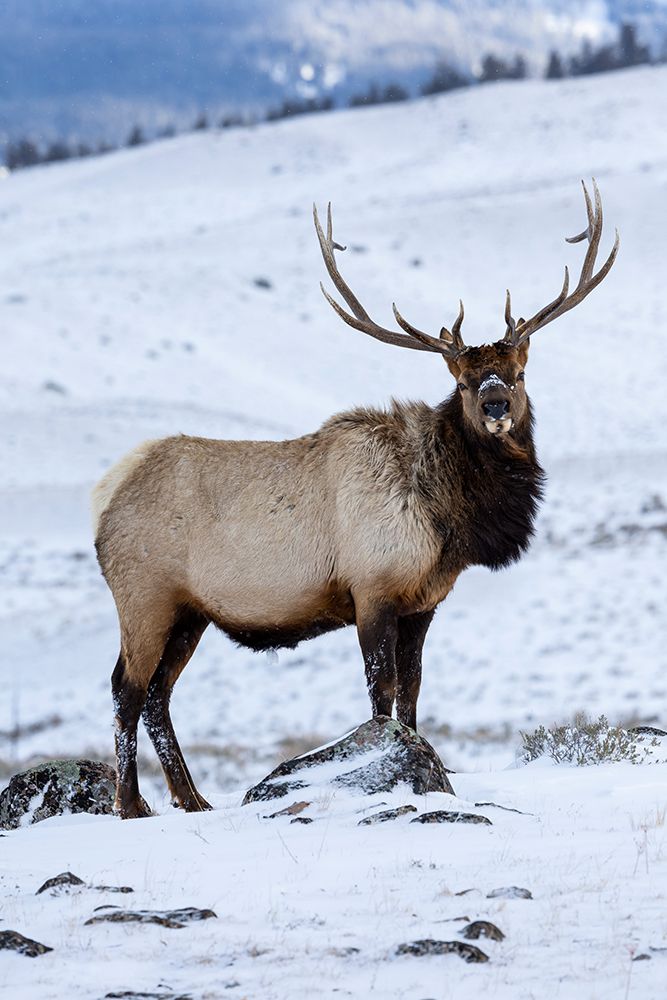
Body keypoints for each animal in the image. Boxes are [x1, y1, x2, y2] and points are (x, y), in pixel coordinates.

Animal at [92, 180, 618, 818]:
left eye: (516, 374)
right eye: (464, 382)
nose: (495, 405)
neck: (446, 519)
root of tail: (104, 499)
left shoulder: (423, 602)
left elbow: (412, 693)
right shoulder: (371, 591)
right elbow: (380, 696)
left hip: (189, 612)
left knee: (158, 695)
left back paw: (192, 800)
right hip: (145, 597)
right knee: (126, 689)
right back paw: (131, 803)